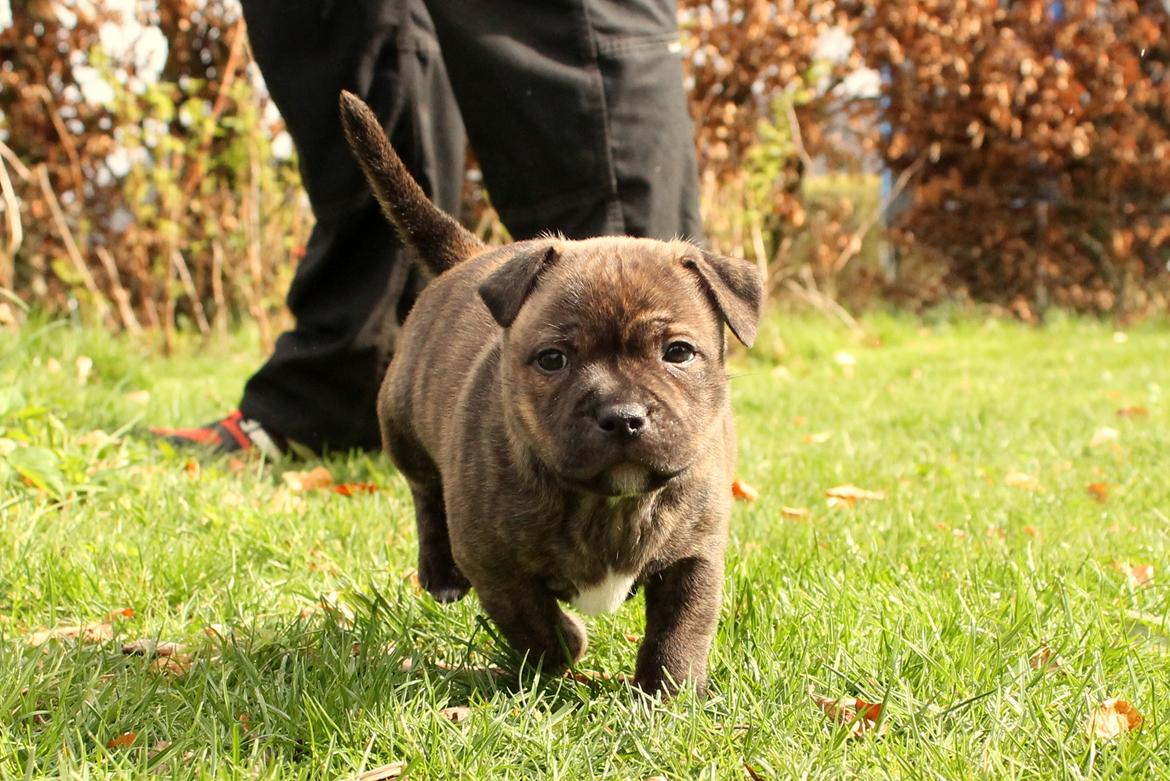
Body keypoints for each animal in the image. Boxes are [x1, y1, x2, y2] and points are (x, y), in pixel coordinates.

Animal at [341, 91, 758, 696]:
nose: (623, 416)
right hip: (401, 426)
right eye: (553, 360)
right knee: (424, 492)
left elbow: (681, 629)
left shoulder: (696, 556)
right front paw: (565, 653)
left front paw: (668, 695)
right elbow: (534, 622)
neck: (607, 503)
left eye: (678, 353)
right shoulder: (494, 566)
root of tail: (469, 257)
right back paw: (440, 575)